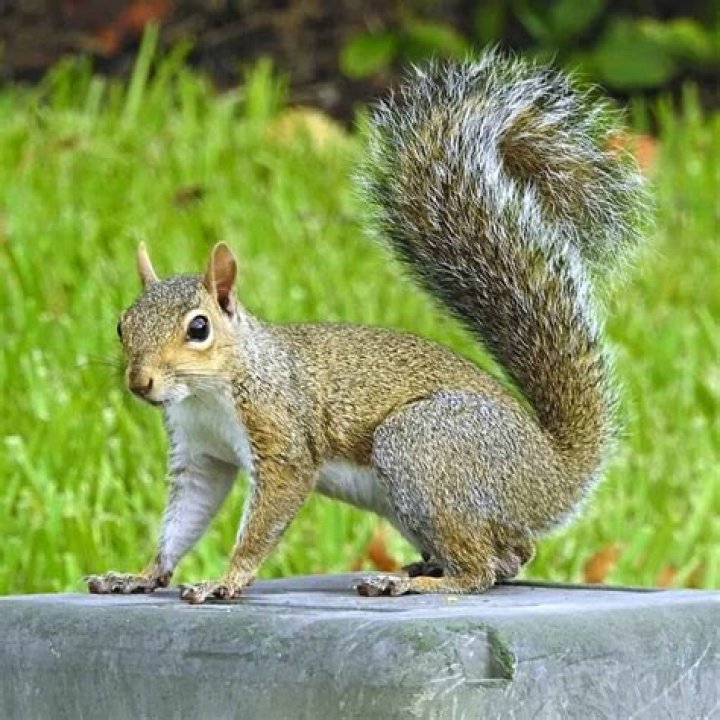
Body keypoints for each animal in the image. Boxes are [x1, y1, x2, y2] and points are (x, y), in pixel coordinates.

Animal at [86, 50, 647, 603]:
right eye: (121, 325)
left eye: (199, 328)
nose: (139, 382)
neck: (210, 389)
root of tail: (551, 475)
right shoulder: (200, 453)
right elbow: (185, 516)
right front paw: (142, 574)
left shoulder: (280, 430)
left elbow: (266, 516)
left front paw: (226, 580)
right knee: (510, 556)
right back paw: (425, 566)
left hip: (424, 447)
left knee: (483, 569)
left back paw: (416, 581)